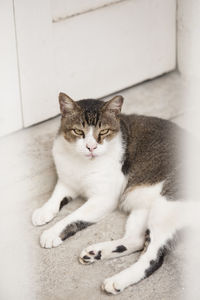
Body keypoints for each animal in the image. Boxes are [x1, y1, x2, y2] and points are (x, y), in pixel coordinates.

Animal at [32, 93, 197, 296]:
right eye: (78, 132)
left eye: (103, 132)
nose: (91, 147)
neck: (81, 163)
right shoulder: (66, 180)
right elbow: (56, 196)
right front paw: (43, 211)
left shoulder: (104, 198)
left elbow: (72, 216)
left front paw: (52, 232)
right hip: (143, 209)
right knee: (136, 240)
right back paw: (96, 253)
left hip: (167, 205)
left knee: (153, 258)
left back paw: (117, 280)